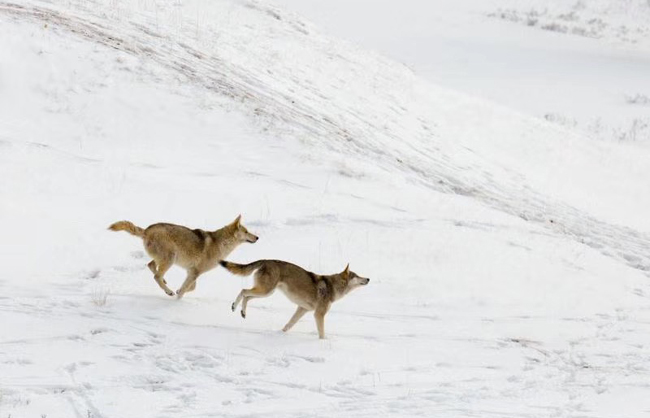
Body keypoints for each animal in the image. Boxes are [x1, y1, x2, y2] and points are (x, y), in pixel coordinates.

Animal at [107, 216, 256, 298]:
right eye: (246, 232)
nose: (257, 237)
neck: (221, 244)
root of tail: (147, 230)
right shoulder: (195, 272)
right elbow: (185, 290)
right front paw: (177, 299)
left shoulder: (192, 272)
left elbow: (191, 287)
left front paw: (178, 290)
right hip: (170, 258)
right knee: (156, 275)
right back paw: (168, 291)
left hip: (166, 259)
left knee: (151, 266)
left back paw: (166, 283)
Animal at [219, 262, 368, 340]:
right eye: (357, 276)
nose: (368, 279)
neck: (332, 287)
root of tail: (266, 260)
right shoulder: (318, 314)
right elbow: (321, 333)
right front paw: (323, 342)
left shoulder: (302, 309)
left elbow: (289, 324)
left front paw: (281, 333)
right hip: (265, 291)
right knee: (243, 291)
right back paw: (234, 306)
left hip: (266, 293)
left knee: (247, 296)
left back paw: (243, 312)